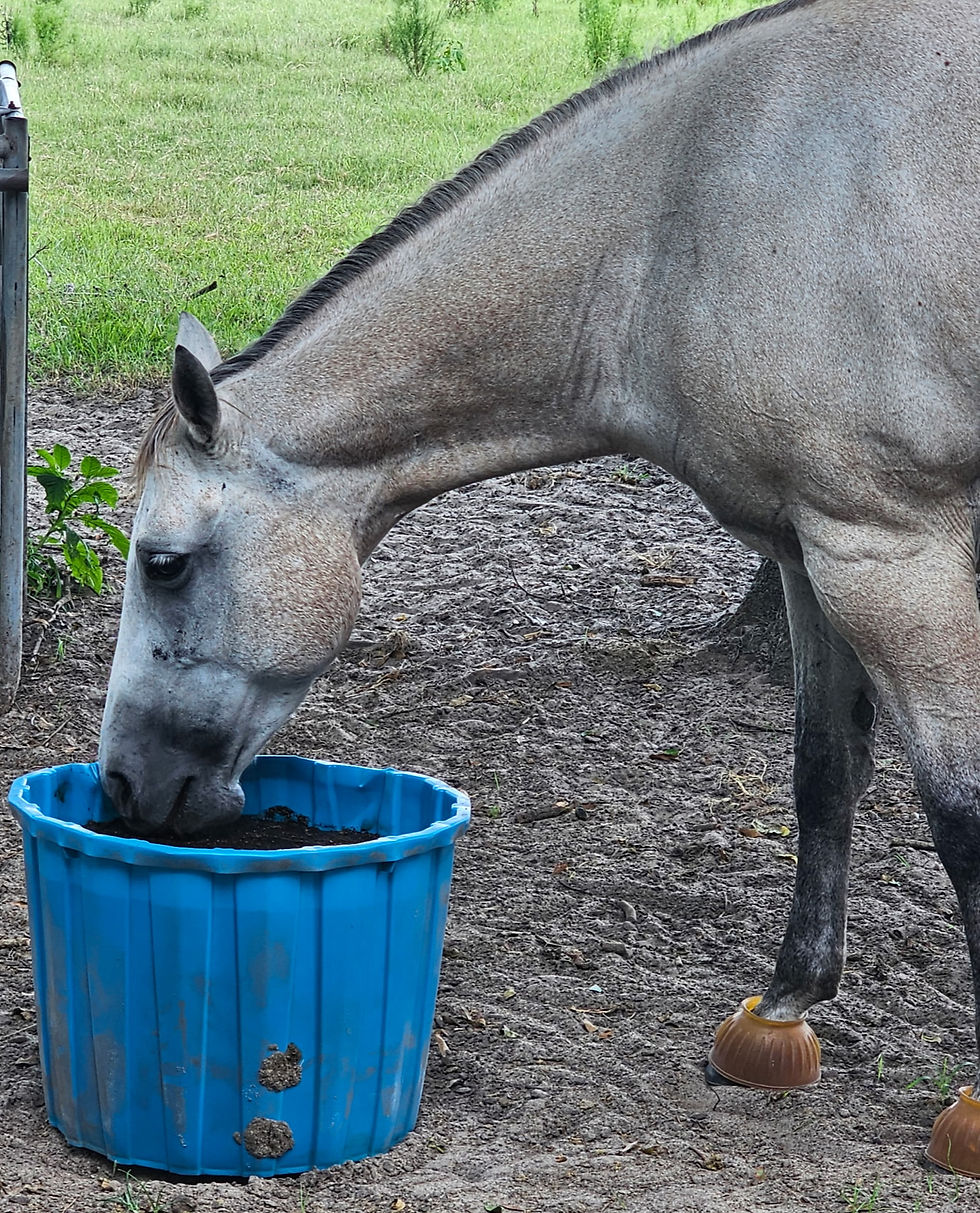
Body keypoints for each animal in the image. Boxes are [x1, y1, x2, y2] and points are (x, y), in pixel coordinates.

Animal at [99, 0, 980, 1163]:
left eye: (164, 562)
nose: (122, 785)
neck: (697, 200)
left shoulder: (892, 552)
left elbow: (960, 818)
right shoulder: (811, 552)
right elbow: (823, 773)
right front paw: (783, 1009)